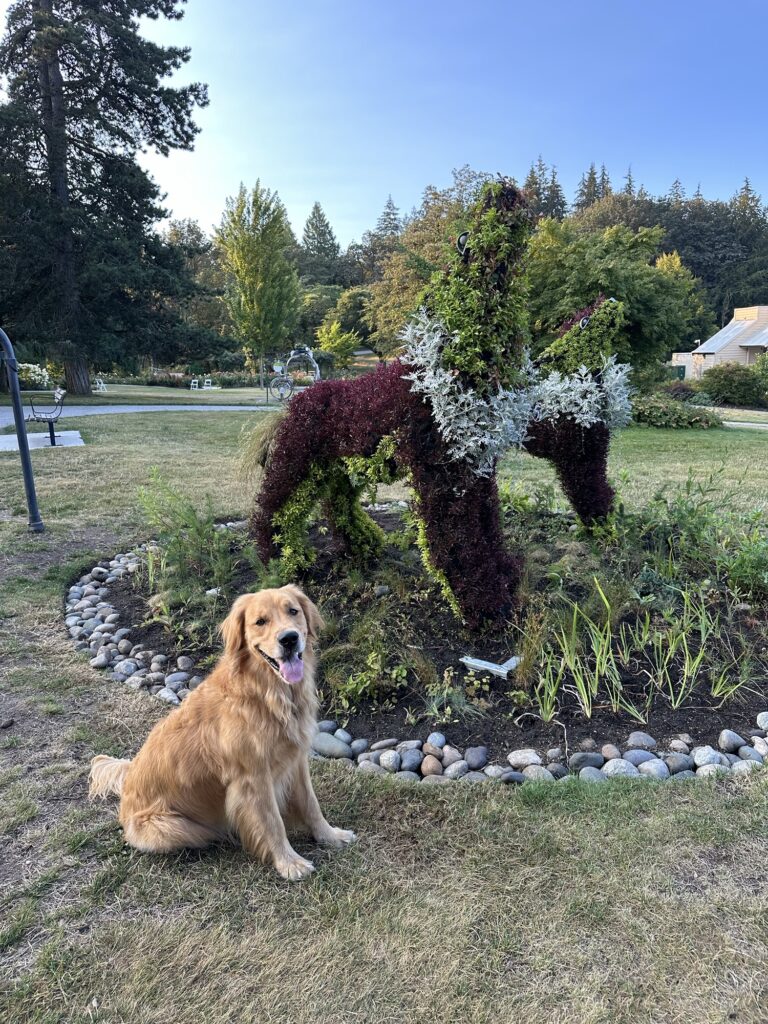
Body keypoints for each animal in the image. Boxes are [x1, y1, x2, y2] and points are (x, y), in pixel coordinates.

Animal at [90, 585, 358, 880]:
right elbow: (273, 822)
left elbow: (311, 804)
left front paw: (330, 836)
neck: (264, 694)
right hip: (179, 828)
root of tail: (127, 785)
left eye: (293, 611)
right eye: (260, 621)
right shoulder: (253, 777)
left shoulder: (296, 760)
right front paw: (289, 863)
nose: (289, 639)